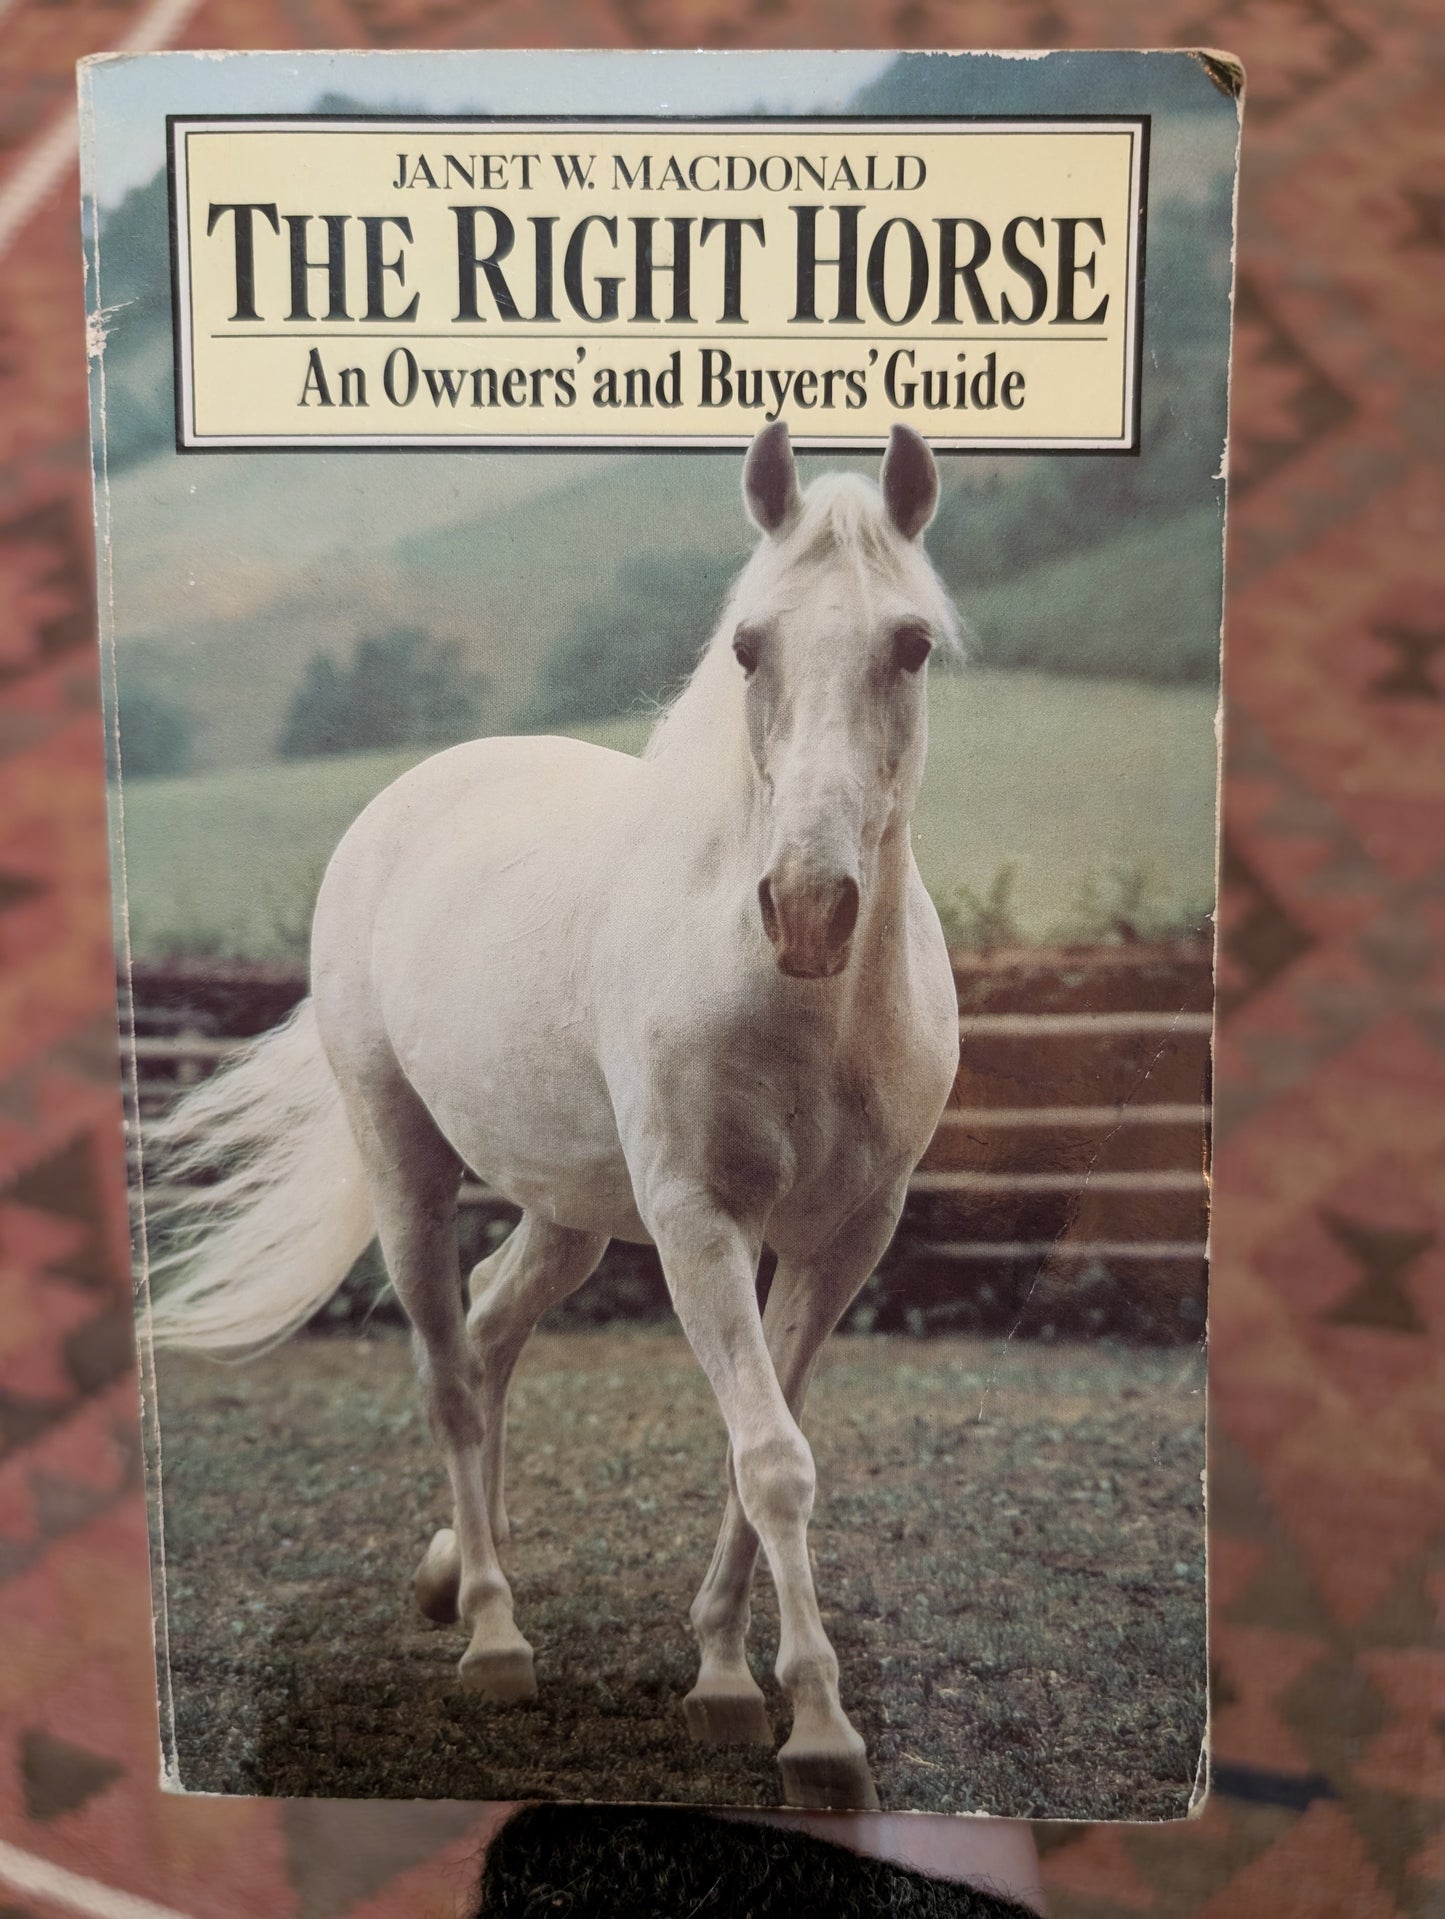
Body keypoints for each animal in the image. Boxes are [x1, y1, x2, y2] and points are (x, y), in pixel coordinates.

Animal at [144, 420, 963, 1811]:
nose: (806, 908)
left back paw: (448, 1567)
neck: (806, 1005)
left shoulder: (845, 1236)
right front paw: (818, 1730)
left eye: (907, 644)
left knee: (488, 1328)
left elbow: (759, 1447)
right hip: (406, 1164)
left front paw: (725, 1675)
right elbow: (772, 1456)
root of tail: (407, 799)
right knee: (446, 1370)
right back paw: (489, 1630)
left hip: (570, 1211)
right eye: (748, 644)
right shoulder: (698, 1221)